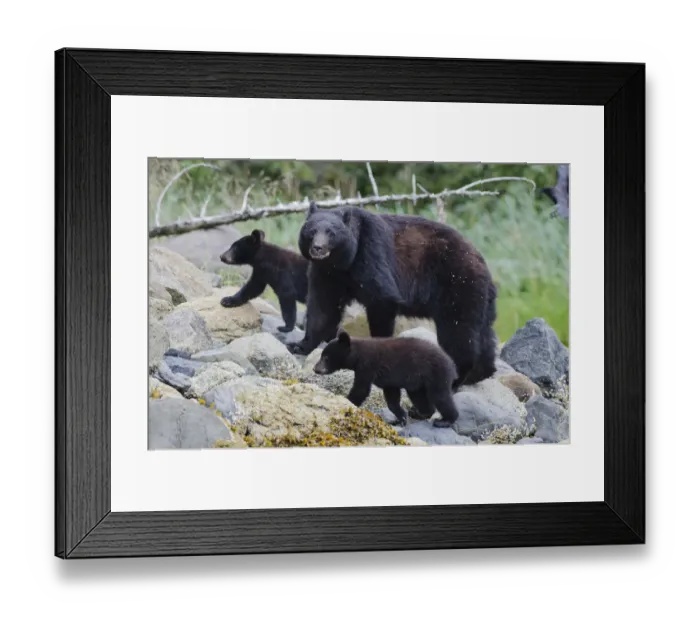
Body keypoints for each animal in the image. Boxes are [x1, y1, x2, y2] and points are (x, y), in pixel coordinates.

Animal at [288, 202, 497, 388]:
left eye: (331, 233)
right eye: (311, 231)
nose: (318, 248)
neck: (343, 263)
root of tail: (484, 267)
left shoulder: (371, 253)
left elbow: (381, 299)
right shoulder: (326, 274)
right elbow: (322, 308)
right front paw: (300, 345)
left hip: (459, 286)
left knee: (459, 332)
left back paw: (457, 377)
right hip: (480, 300)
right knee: (483, 336)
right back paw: (479, 374)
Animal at [313, 329, 460, 428]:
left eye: (325, 357)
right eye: (322, 355)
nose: (315, 368)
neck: (357, 356)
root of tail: (451, 364)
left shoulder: (367, 366)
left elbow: (361, 389)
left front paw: (347, 402)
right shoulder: (389, 380)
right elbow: (392, 397)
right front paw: (399, 418)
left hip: (436, 374)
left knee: (440, 396)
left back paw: (446, 420)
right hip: (418, 382)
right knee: (419, 397)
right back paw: (419, 413)